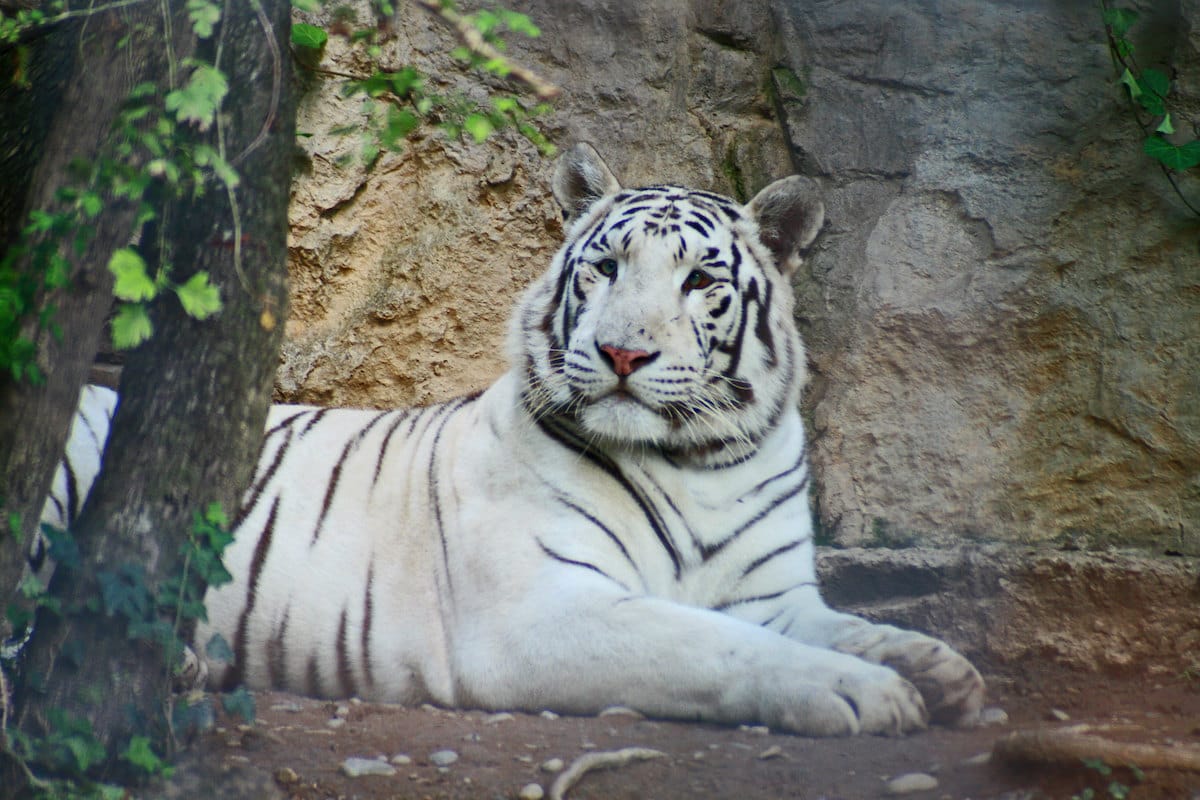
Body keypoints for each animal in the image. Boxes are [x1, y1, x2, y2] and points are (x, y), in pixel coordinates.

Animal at [44, 145, 984, 738]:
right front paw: (864, 694)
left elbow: (842, 625)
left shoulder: (772, 592)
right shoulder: (541, 610)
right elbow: (718, 645)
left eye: (698, 280)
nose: (623, 352)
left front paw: (942, 671)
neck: (700, 459)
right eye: (606, 267)